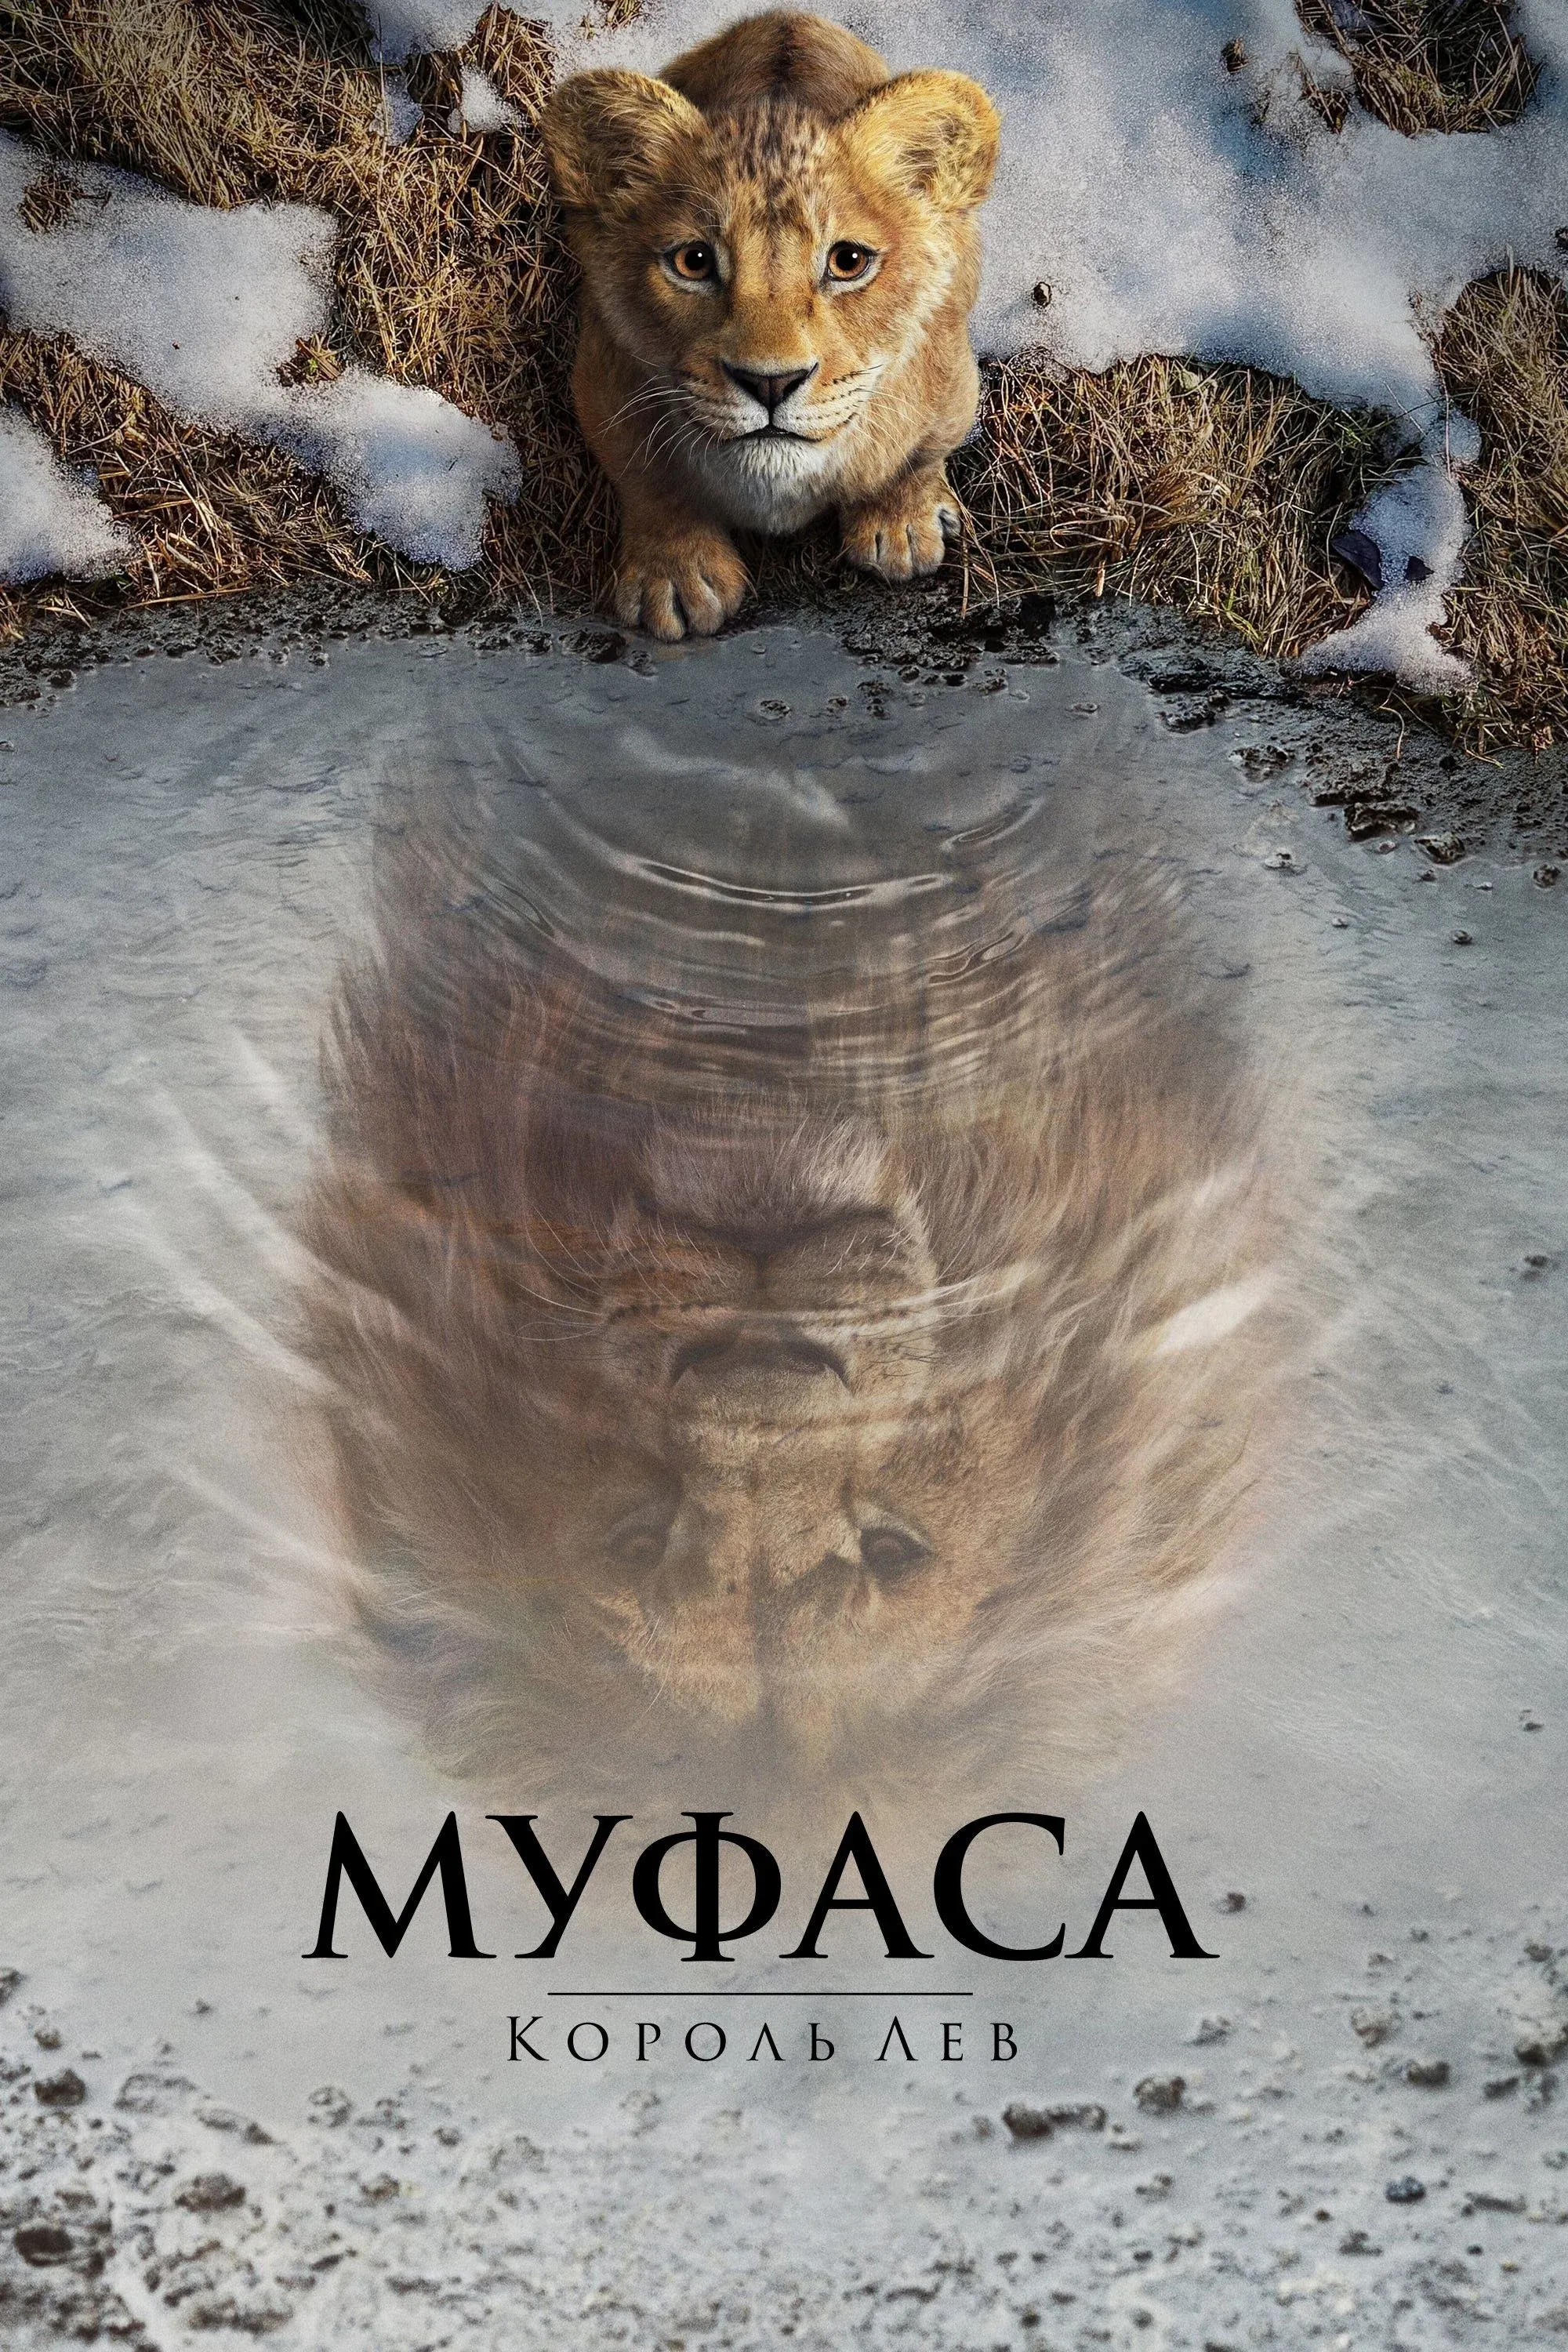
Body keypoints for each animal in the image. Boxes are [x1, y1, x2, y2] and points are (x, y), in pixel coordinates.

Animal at [541, 12, 1000, 640]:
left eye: (848, 261)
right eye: (693, 261)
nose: (770, 383)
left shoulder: (951, 379)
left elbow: (916, 456)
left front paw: (901, 527)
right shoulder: (601, 379)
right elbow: (649, 481)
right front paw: (675, 576)